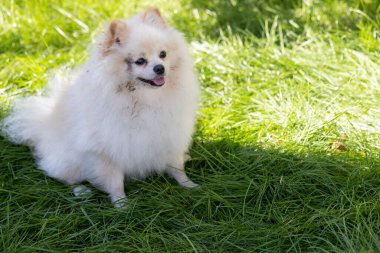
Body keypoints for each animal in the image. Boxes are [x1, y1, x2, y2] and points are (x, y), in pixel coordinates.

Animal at [1, 7, 200, 207]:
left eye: (163, 54)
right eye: (140, 61)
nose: (160, 68)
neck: (145, 99)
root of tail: (42, 127)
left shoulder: (169, 136)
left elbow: (177, 167)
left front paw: (189, 185)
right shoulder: (105, 151)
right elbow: (115, 181)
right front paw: (121, 204)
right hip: (68, 163)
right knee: (65, 178)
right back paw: (81, 190)